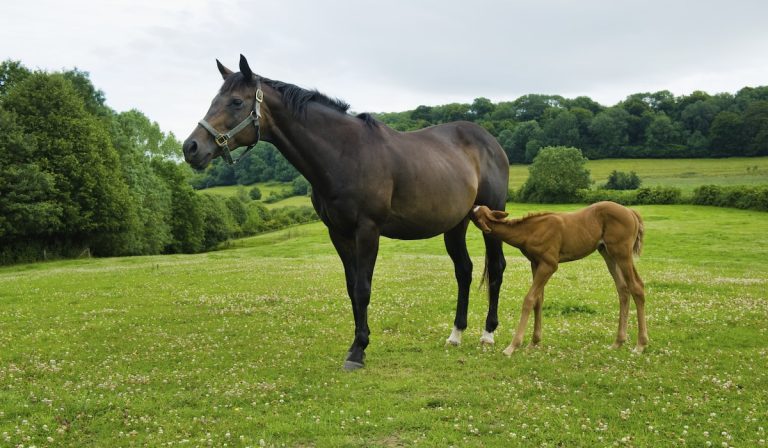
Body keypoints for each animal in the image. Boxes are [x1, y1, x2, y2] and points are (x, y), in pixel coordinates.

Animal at [182, 55, 510, 370]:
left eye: (236, 102)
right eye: (215, 99)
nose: (191, 147)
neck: (345, 153)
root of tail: (490, 142)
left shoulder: (368, 230)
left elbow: (363, 288)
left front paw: (358, 351)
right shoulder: (338, 233)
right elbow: (352, 289)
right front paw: (357, 344)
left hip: (491, 217)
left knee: (496, 268)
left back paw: (488, 334)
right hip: (455, 224)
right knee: (464, 271)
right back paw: (456, 334)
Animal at [470, 201, 648, 355]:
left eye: (475, 213)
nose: (471, 204)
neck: (530, 231)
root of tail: (631, 212)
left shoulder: (549, 264)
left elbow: (529, 299)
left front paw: (513, 346)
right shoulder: (535, 263)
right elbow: (538, 300)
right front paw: (533, 343)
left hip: (622, 253)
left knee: (636, 287)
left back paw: (640, 345)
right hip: (608, 253)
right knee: (623, 289)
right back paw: (618, 342)